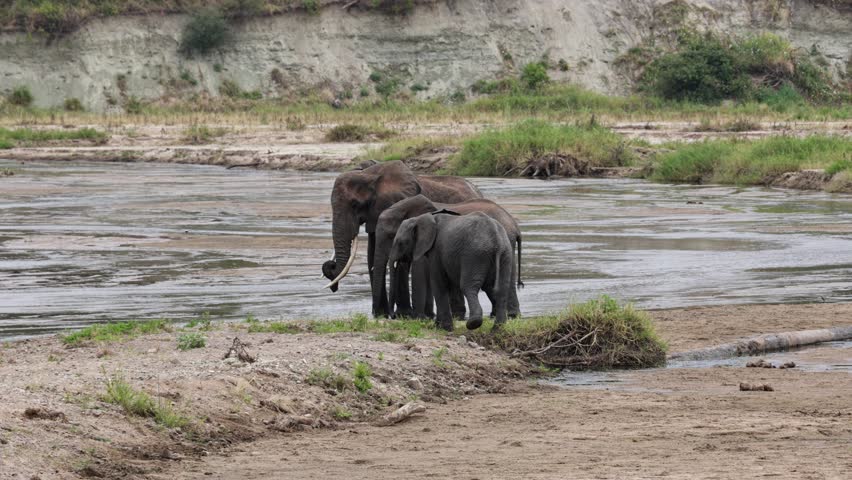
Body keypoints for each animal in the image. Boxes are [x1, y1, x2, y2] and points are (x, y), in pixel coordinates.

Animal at [321, 161, 482, 318]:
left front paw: (402, 314)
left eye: (355, 204)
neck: (369, 174)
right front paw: (381, 314)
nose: (331, 266)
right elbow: (372, 254)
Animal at [372, 194, 523, 319]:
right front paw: (423, 316)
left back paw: (509, 315)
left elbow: (419, 272)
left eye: (394, 238)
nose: (389, 316)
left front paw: (418, 317)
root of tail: (514, 225)